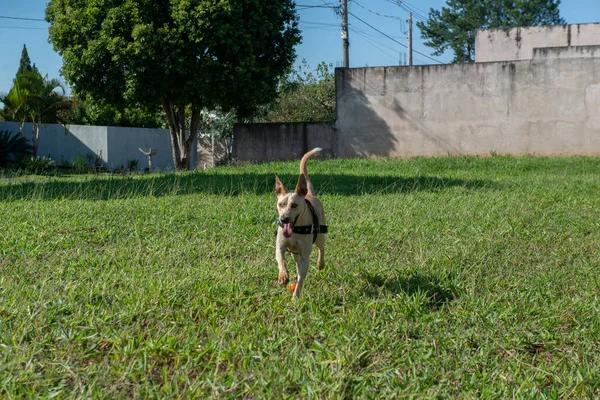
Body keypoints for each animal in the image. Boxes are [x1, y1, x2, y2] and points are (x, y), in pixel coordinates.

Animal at [274, 148, 326, 298]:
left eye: (294, 205)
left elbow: (301, 278)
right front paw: (283, 275)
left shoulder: (305, 257)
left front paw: (295, 297)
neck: (296, 230)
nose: (283, 219)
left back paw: (320, 264)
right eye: (280, 204)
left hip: (320, 235)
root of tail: (310, 195)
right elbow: (280, 258)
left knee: (321, 249)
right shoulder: (280, 246)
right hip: (294, 253)